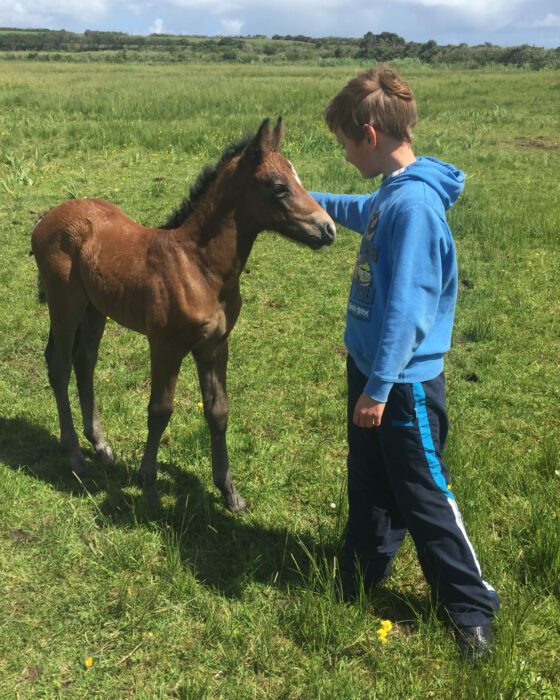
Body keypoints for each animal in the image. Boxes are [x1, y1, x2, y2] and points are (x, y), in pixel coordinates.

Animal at [30, 119, 334, 516]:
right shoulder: (165, 345)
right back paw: (75, 458)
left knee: (85, 362)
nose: (328, 229)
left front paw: (230, 493)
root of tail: (47, 217)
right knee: (60, 365)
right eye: (279, 187)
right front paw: (149, 488)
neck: (199, 267)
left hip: (95, 309)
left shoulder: (215, 346)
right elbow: (160, 410)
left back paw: (100, 446)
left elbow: (218, 411)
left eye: (297, 177)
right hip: (65, 303)